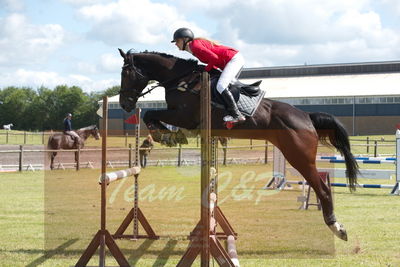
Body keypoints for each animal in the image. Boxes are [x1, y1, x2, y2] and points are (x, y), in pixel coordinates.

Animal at [118, 48, 360, 243]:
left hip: (299, 157)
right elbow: (152, 116)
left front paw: (164, 135)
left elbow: (150, 114)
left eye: (125, 74)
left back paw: (337, 228)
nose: (124, 104)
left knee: (323, 189)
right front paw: (167, 135)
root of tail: (307, 117)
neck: (180, 79)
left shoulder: (184, 116)